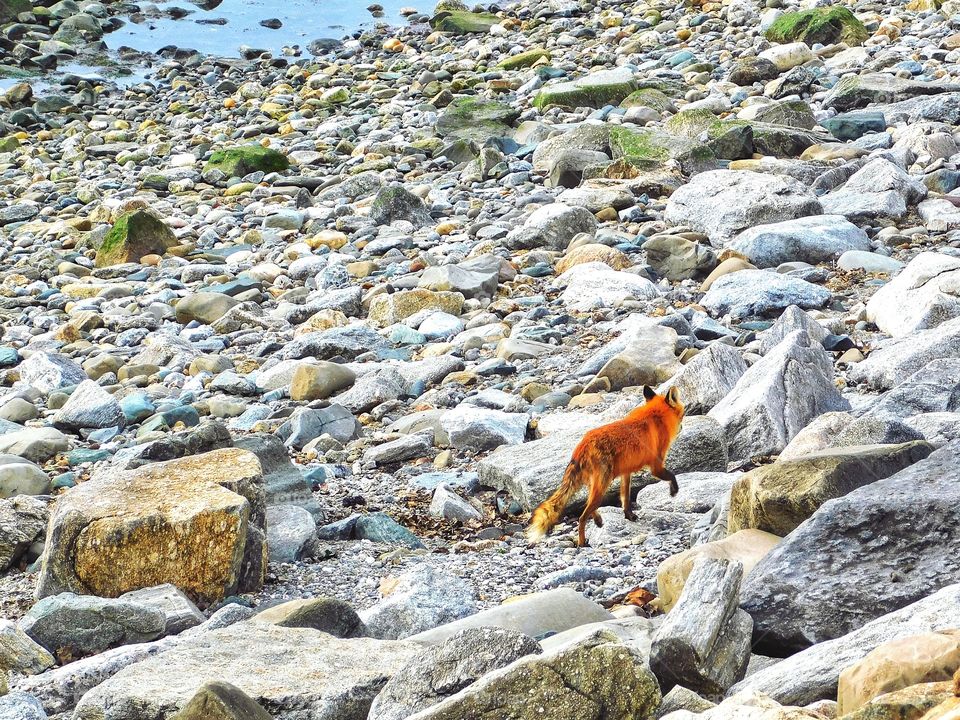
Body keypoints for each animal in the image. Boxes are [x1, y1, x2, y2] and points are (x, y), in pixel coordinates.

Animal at [524, 388, 684, 544]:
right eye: (682, 414)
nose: (682, 426)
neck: (655, 416)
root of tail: (583, 445)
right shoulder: (656, 466)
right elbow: (672, 476)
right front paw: (674, 491)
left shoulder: (626, 472)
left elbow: (625, 498)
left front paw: (629, 516)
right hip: (603, 484)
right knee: (582, 516)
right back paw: (581, 543)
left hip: (596, 484)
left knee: (587, 504)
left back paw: (598, 520)